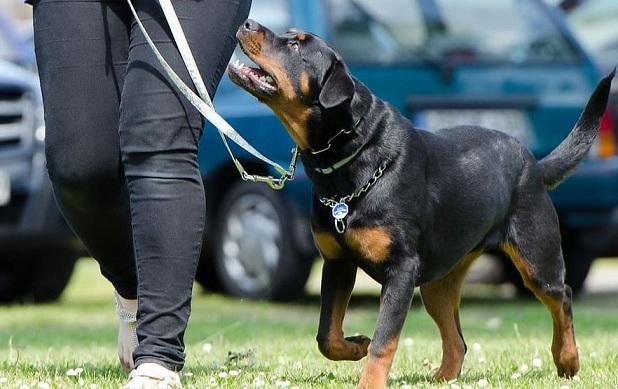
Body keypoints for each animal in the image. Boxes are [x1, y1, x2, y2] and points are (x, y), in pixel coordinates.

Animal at [226, 19, 612, 388]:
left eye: (296, 45)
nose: (248, 23)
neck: (351, 157)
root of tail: (534, 163)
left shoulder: (401, 270)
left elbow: (385, 340)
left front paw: (369, 380)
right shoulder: (337, 262)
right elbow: (327, 336)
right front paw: (356, 345)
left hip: (535, 255)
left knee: (561, 296)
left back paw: (567, 359)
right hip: (437, 282)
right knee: (457, 339)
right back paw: (443, 377)